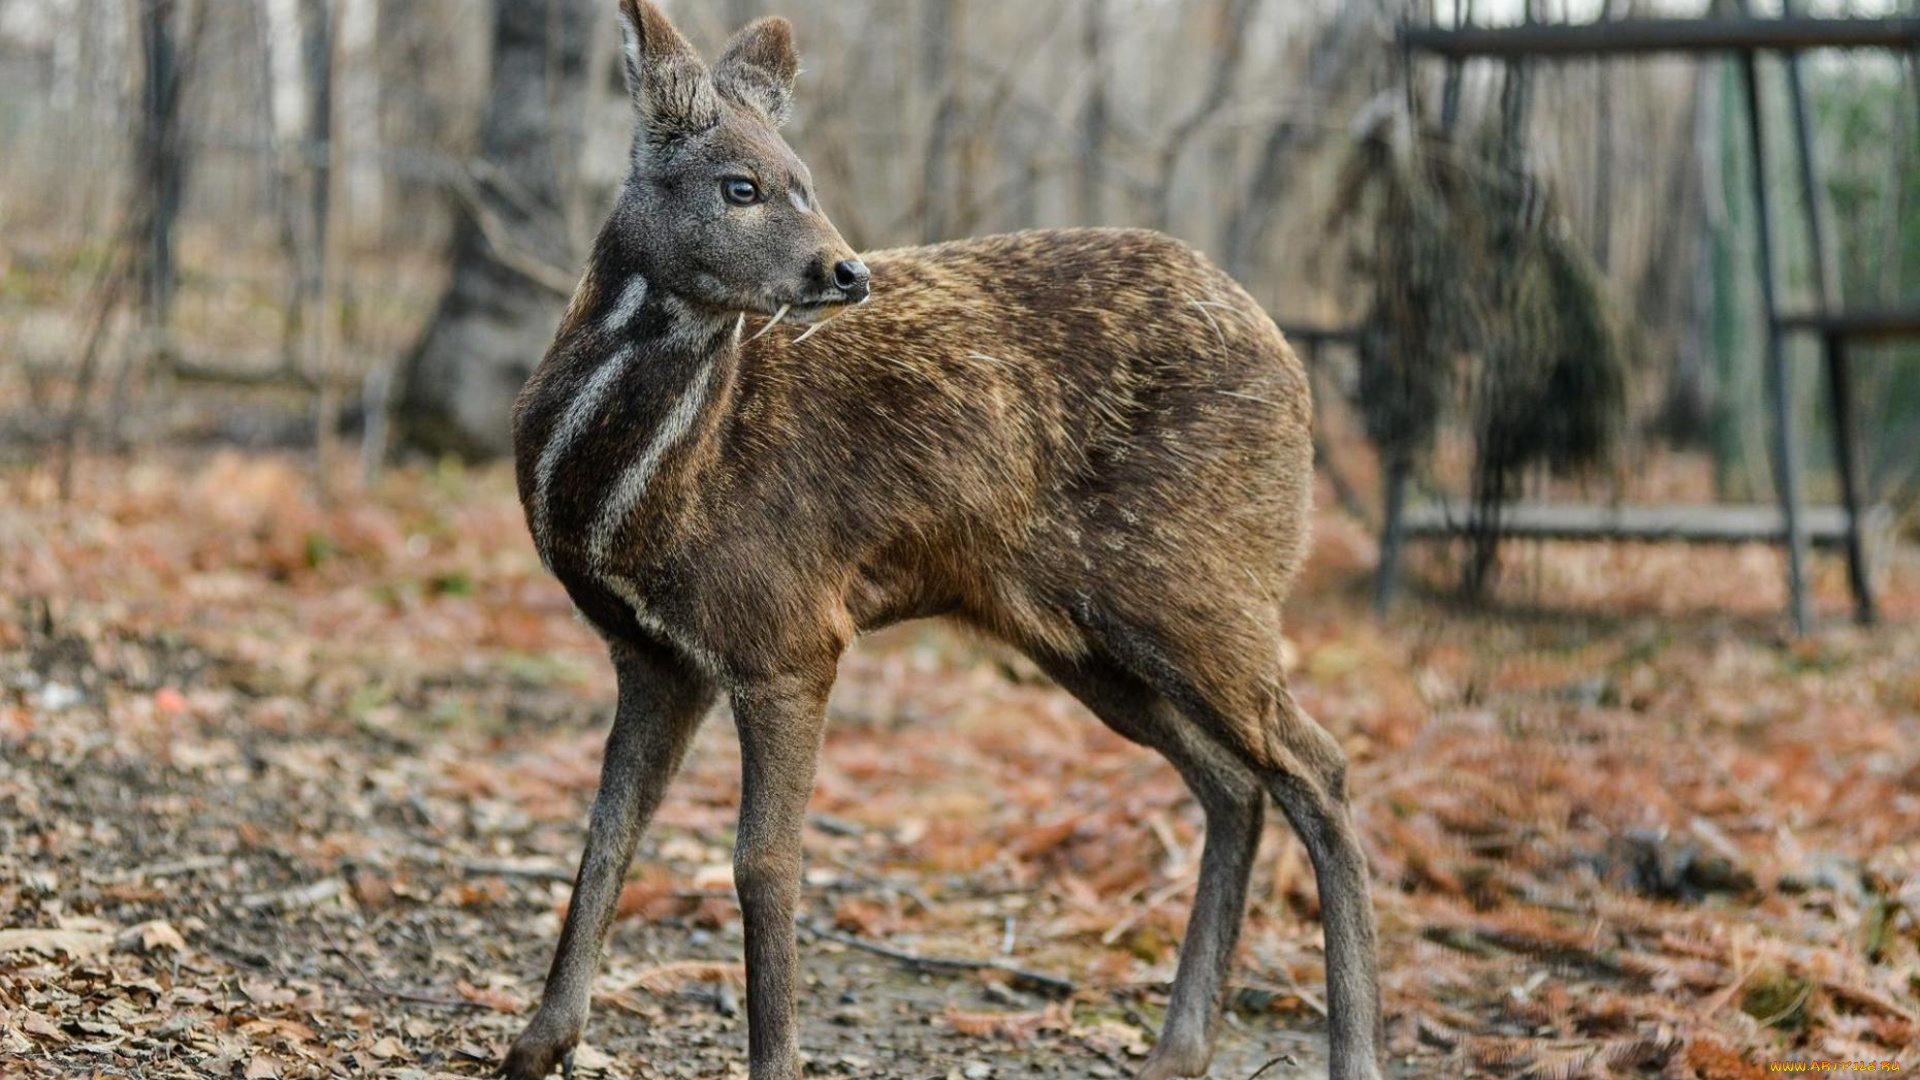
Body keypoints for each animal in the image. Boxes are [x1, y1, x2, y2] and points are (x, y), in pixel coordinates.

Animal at [500, 3, 1382, 1078]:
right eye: (741, 185)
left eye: (804, 178)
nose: (845, 270)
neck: (638, 493)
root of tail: (1295, 369)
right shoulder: (654, 655)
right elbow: (606, 834)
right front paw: (536, 1044)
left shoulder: (788, 632)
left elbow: (764, 861)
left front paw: (775, 1059)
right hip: (1081, 633)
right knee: (1234, 785)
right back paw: (1178, 1049)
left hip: (1201, 585)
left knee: (1319, 767)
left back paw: (1351, 1053)